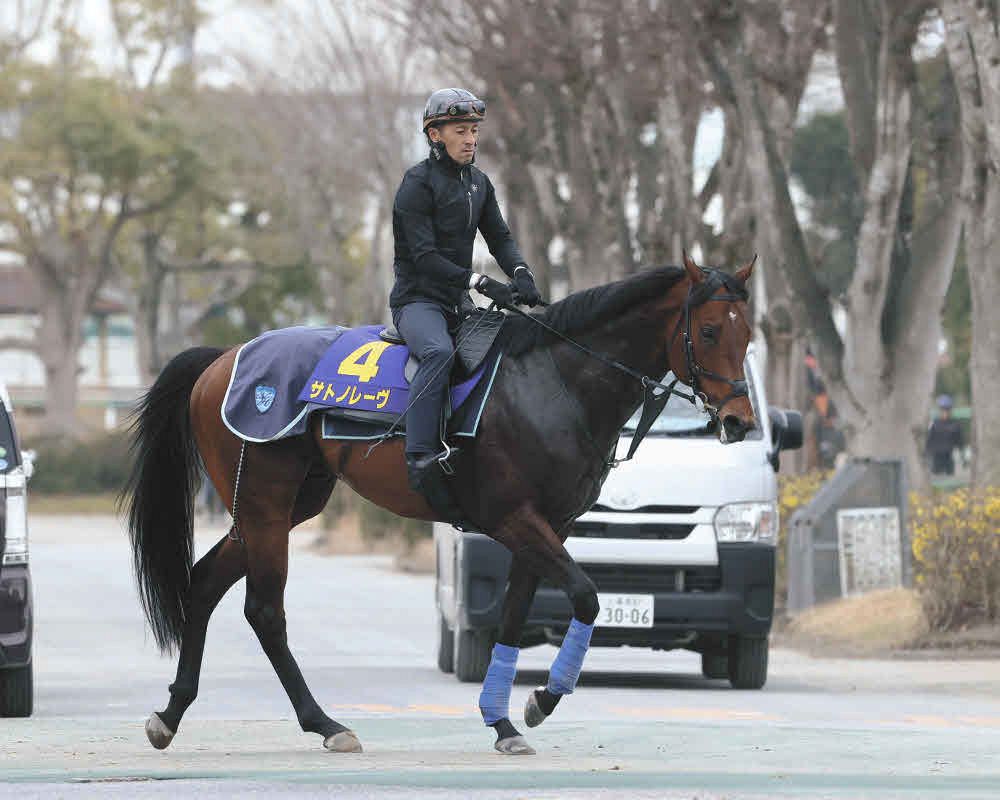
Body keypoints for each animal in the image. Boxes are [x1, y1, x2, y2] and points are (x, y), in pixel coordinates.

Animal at [121, 252, 756, 756]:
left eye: (747, 333)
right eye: (707, 331)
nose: (738, 422)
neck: (553, 382)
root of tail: (222, 358)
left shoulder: (546, 527)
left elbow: (513, 617)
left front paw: (504, 721)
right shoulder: (515, 521)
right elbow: (585, 595)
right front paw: (543, 700)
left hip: (278, 507)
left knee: (205, 582)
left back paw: (171, 714)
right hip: (265, 505)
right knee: (263, 611)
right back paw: (324, 723)